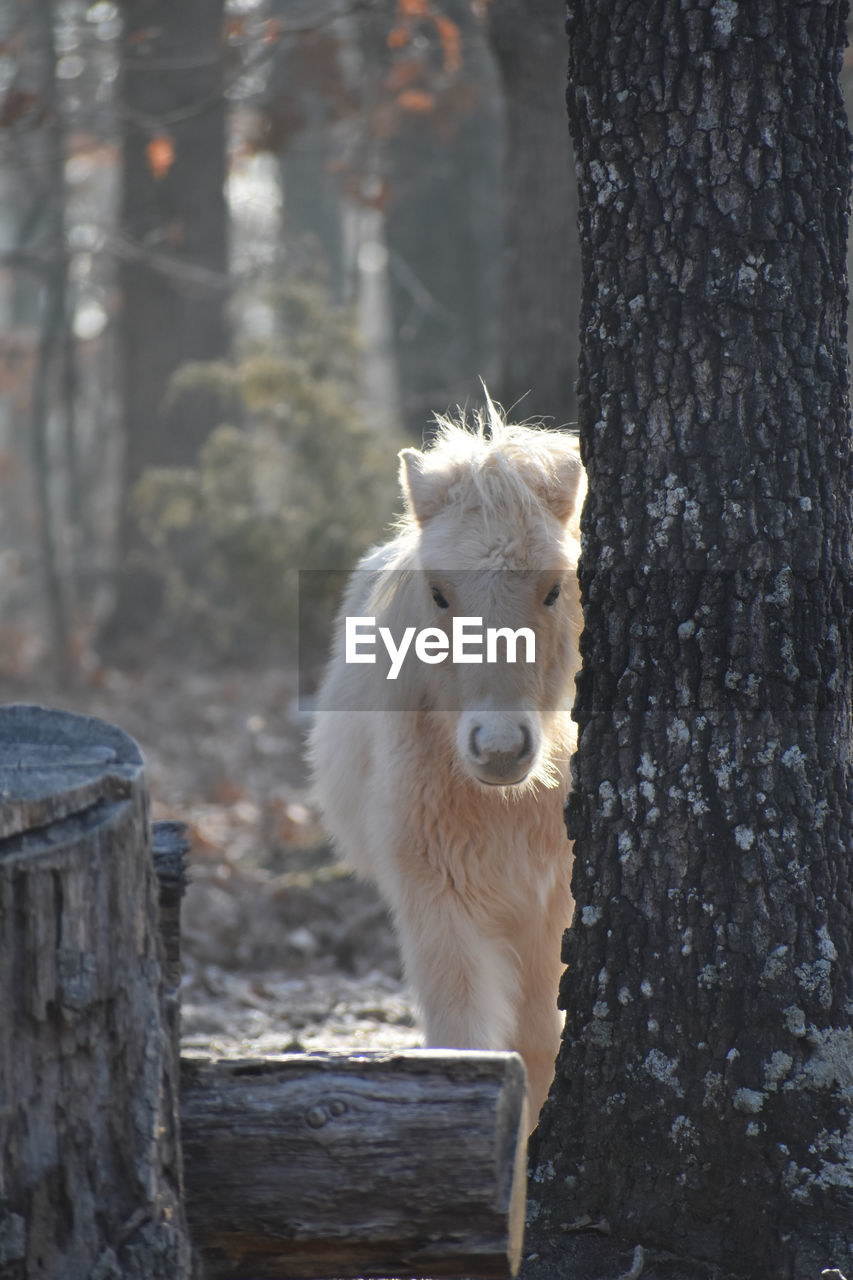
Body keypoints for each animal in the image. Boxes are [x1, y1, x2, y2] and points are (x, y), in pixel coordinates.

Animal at [308, 399, 581, 1121]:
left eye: (552, 589)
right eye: (438, 594)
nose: (500, 748)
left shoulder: (553, 909)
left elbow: (540, 1049)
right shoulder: (439, 904)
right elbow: (470, 1043)